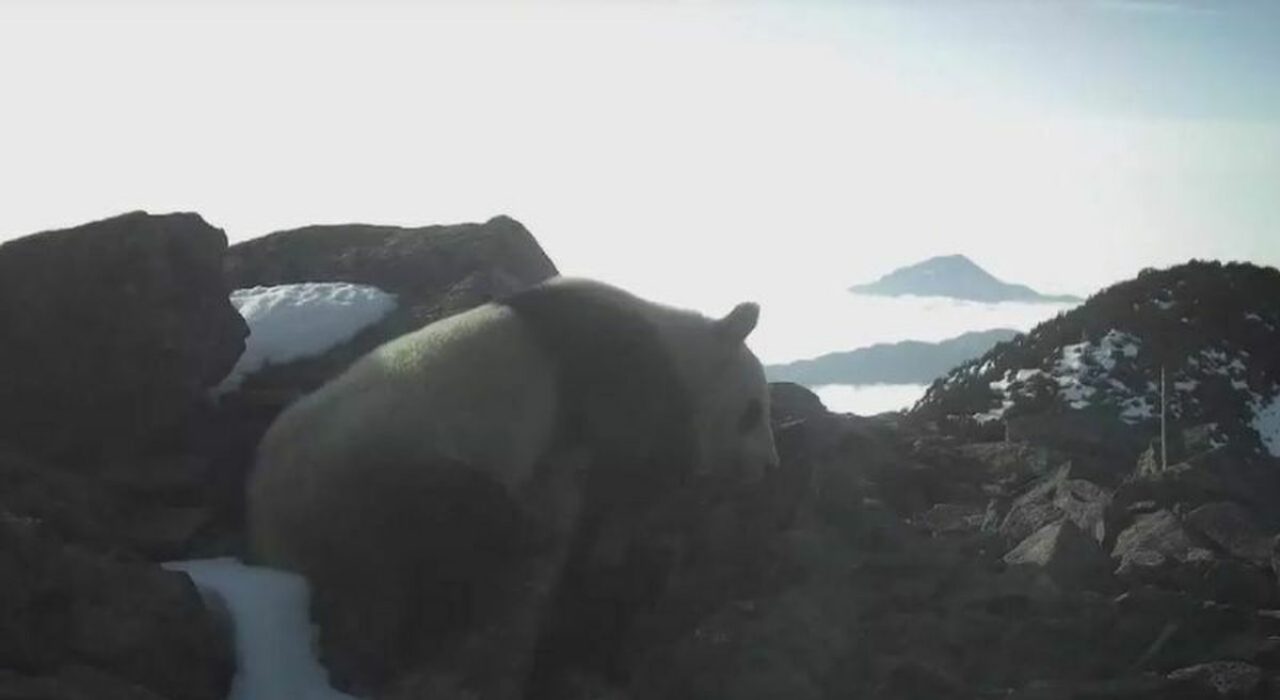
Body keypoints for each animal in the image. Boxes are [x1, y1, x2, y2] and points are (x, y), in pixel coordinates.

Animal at [245, 276, 779, 695]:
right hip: (384, 471)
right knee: (457, 538)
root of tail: (269, 516)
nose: (770, 467)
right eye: (754, 412)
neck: (677, 347)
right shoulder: (620, 379)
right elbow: (627, 485)